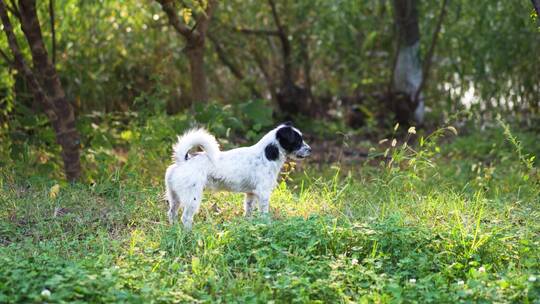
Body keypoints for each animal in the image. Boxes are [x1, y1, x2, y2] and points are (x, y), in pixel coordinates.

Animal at [165, 122, 310, 229]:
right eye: (297, 141)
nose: (310, 149)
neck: (267, 154)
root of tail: (183, 161)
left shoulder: (250, 194)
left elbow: (248, 210)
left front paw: (249, 224)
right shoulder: (263, 193)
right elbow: (264, 213)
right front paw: (267, 225)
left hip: (175, 198)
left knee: (172, 213)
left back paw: (174, 230)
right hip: (192, 198)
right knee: (186, 218)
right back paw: (190, 233)